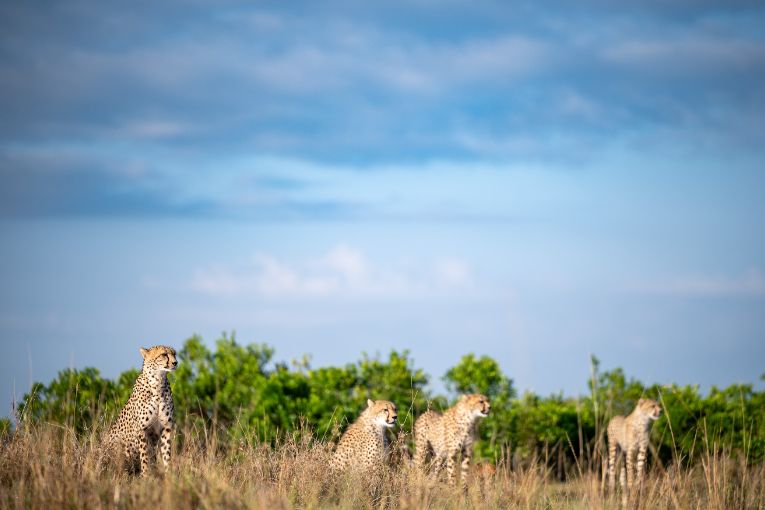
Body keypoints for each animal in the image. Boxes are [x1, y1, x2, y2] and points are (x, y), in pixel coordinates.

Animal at [105, 344, 177, 476]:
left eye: (174, 354)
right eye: (164, 354)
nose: (175, 362)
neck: (158, 383)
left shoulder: (166, 427)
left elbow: (166, 454)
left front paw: (169, 475)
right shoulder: (142, 429)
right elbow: (144, 456)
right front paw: (146, 476)